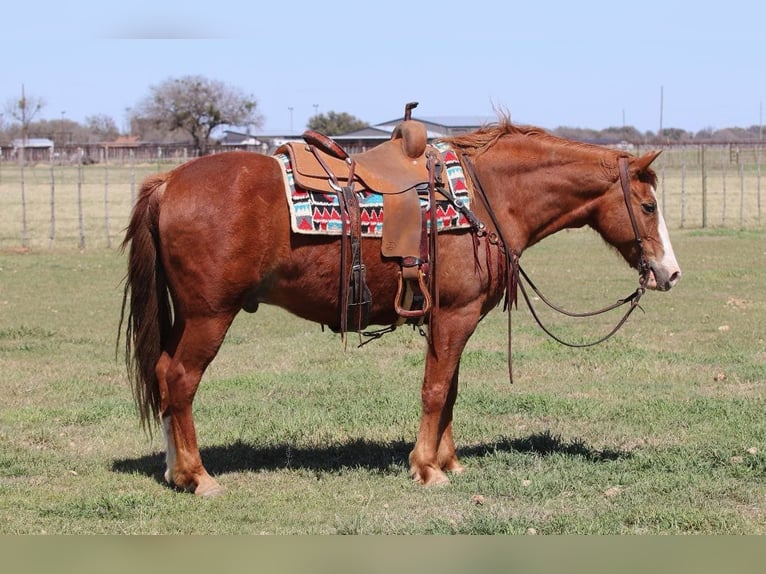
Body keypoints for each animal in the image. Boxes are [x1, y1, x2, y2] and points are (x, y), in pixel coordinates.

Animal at [119, 118, 681, 496]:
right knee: (181, 381)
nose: (669, 273)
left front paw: (450, 462)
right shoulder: (454, 315)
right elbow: (434, 390)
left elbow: (450, 390)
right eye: (648, 206)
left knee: (164, 375)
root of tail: (168, 182)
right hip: (210, 316)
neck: (484, 197)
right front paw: (427, 468)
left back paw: (174, 470)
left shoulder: (450, 318)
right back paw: (198, 476)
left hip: (187, 316)